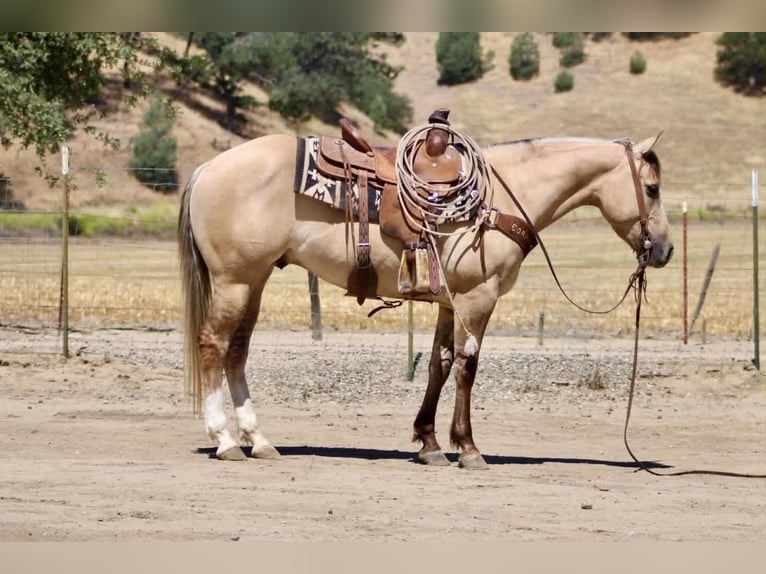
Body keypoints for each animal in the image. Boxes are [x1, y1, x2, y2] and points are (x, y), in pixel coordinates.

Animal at [178, 130, 673, 469]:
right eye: (652, 189)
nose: (665, 250)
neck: (501, 196)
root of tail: (207, 169)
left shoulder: (450, 303)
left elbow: (439, 363)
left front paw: (429, 444)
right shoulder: (478, 298)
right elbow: (467, 367)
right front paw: (468, 448)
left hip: (254, 280)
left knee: (237, 352)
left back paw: (258, 441)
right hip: (234, 280)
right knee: (213, 345)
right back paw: (225, 441)